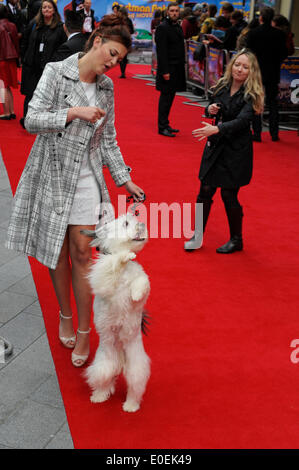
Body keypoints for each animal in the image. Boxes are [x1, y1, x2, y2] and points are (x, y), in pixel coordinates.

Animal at [82, 215, 151, 414]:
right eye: (126, 223)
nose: (142, 224)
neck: (125, 273)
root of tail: (120, 354)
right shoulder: (103, 280)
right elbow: (112, 265)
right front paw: (124, 256)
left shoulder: (140, 281)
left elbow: (142, 283)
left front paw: (135, 293)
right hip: (104, 362)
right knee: (104, 378)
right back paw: (98, 396)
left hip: (136, 366)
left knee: (135, 385)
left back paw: (131, 405)